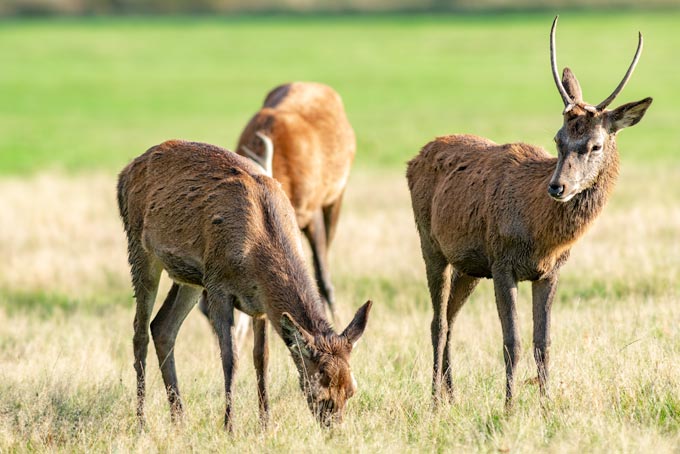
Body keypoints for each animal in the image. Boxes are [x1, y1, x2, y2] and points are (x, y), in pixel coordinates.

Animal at [117, 139, 372, 430]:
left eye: (351, 390)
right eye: (318, 390)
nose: (333, 429)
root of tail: (124, 173)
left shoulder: (260, 304)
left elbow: (262, 358)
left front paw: (265, 424)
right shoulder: (218, 285)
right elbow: (231, 358)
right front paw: (229, 426)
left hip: (190, 278)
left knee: (162, 326)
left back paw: (179, 419)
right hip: (140, 248)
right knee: (139, 332)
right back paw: (141, 422)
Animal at [406, 16, 652, 409]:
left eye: (595, 144)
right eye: (558, 139)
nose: (558, 187)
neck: (542, 237)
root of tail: (413, 158)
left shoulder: (549, 272)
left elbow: (543, 343)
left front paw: (546, 406)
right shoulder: (503, 263)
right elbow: (513, 343)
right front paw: (508, 407)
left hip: (469, 265)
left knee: (451, 317)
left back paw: (452, 395)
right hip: (430, 244)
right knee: (437, 322)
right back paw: (434, 401)